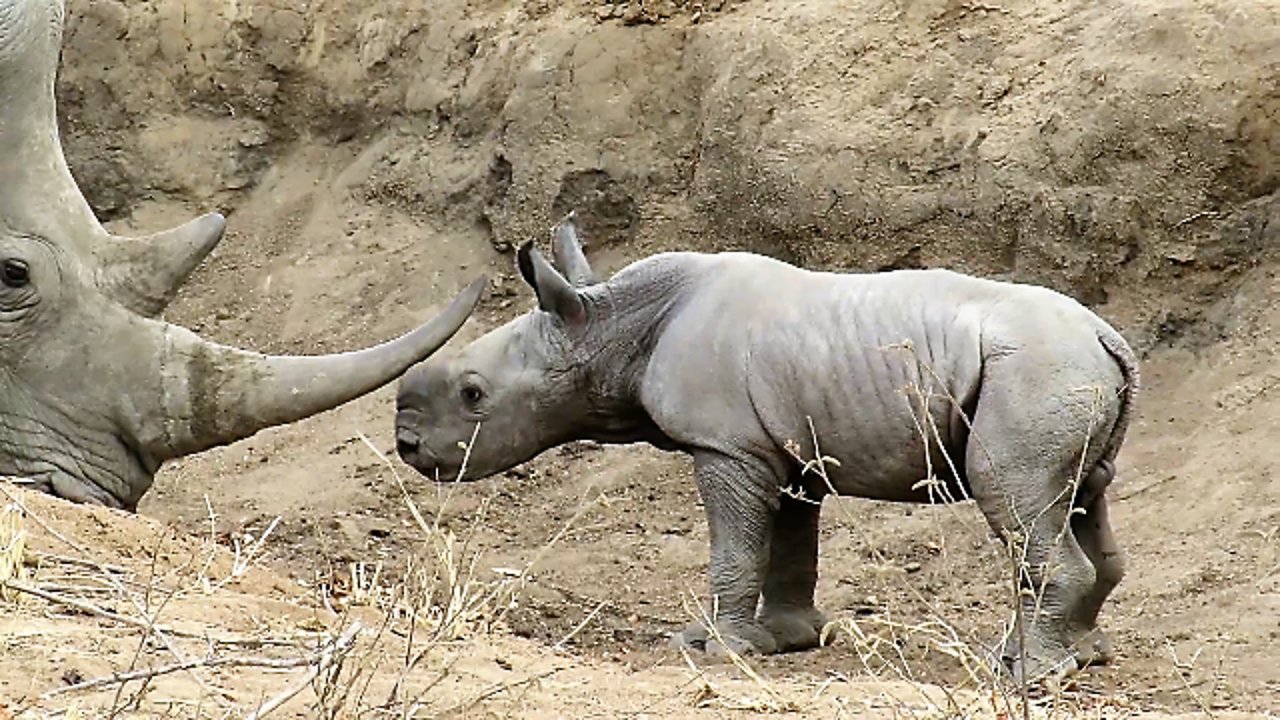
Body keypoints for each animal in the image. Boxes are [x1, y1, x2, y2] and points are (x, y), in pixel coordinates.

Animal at [396, 210, 1141, 681]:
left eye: (473, 394)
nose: (406, 444)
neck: (608, 322)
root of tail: (1108, 337)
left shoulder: (729, 447)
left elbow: (736, 549)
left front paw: (713, 647)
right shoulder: (786, 447)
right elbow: (790, 546)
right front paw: (788, 638)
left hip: (1036, 373)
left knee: (1013, 493)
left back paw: (1026, 672)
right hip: (1061, 373)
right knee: (1079, 497)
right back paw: (1083, 656)